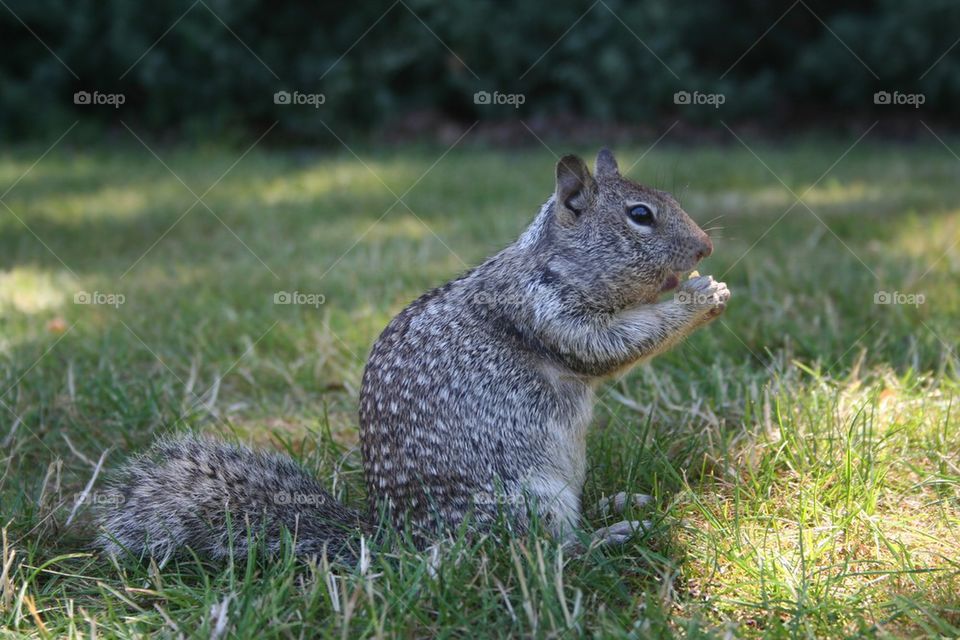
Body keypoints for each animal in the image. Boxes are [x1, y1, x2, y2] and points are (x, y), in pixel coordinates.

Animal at [96, 149, 730, 562]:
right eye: (640, 215)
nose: (706, 247)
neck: (553, 263)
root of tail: (396, 540)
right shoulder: (546, 312)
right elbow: (611, 346)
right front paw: (702, 296)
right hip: (523, 502)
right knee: (545, 554)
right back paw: (614, 533)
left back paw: (618, 502)